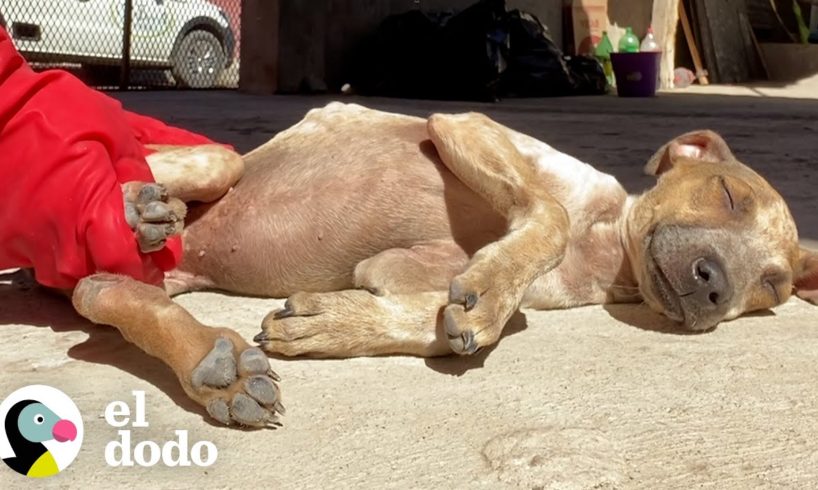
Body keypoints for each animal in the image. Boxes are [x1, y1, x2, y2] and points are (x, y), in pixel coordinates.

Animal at [63, 101, 816, 426]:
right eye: (727, 194)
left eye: (772, 284)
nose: (716, 287)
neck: (607, 254)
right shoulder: (465, 125)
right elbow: (548, 214)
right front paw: (486, 288)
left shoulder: (399, 272)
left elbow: (429, 316)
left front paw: (336, 321)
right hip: (219, 162)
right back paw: (133, 203)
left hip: (134, 277)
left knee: (105, 294)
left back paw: (216, 370)